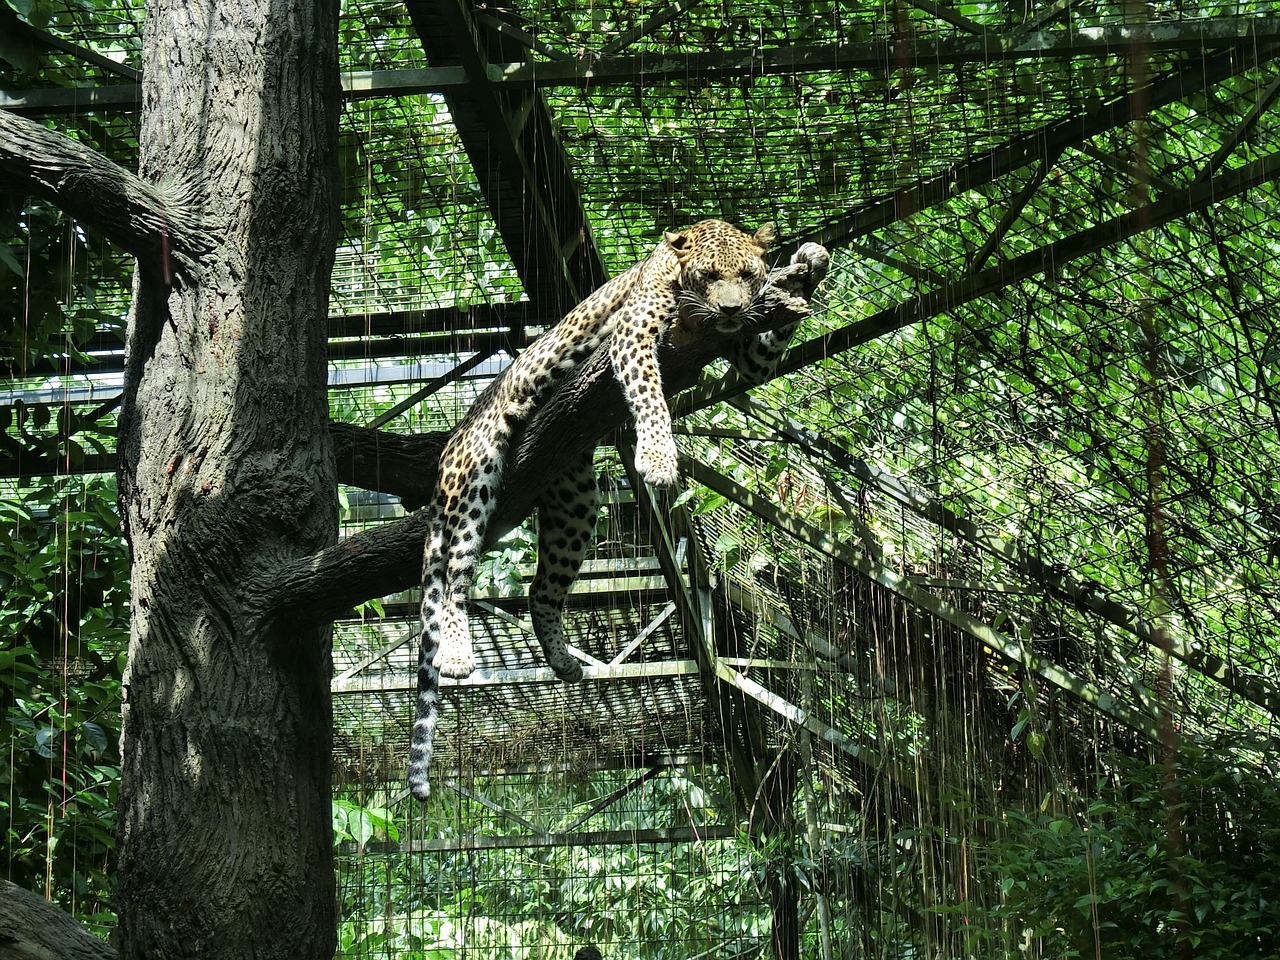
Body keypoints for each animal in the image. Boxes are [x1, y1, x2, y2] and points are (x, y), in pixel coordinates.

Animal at [409, 221, 819, 798]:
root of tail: (451, 444)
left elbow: (763, 347)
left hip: (575, 500)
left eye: (745, 274)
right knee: (454, 575)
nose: (730, 309)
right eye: (707, 275)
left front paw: (811, 259)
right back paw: (457, 654)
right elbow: (650, 395)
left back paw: (563, 662)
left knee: (540, 589)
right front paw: (657, 458)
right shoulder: (633, 334)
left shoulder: (747, 352)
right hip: (477, 474)